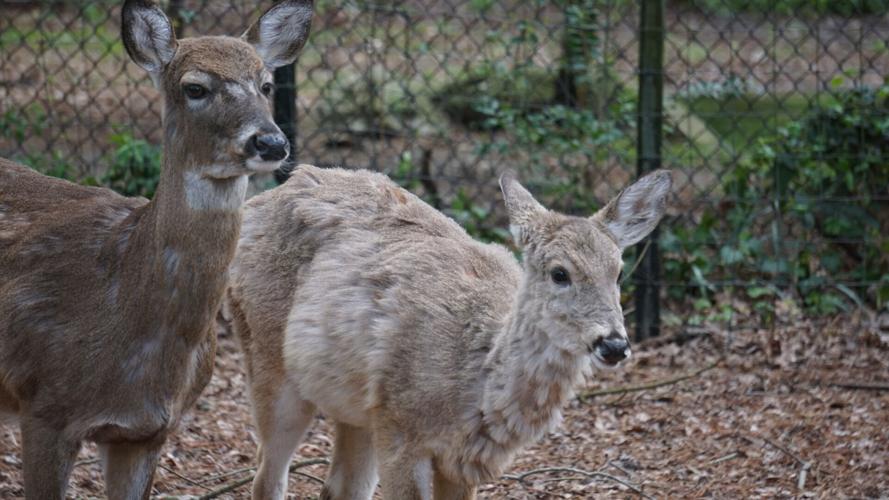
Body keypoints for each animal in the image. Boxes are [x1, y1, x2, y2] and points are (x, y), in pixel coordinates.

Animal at [226, 164, 672, 499]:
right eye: (559, 273)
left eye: (618, 272)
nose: (613, 343)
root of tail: (257, 202)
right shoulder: (402, 432)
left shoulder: (462, 460)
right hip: (267, 355)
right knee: (266, 477)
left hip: (355, 405)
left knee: (338, 487)